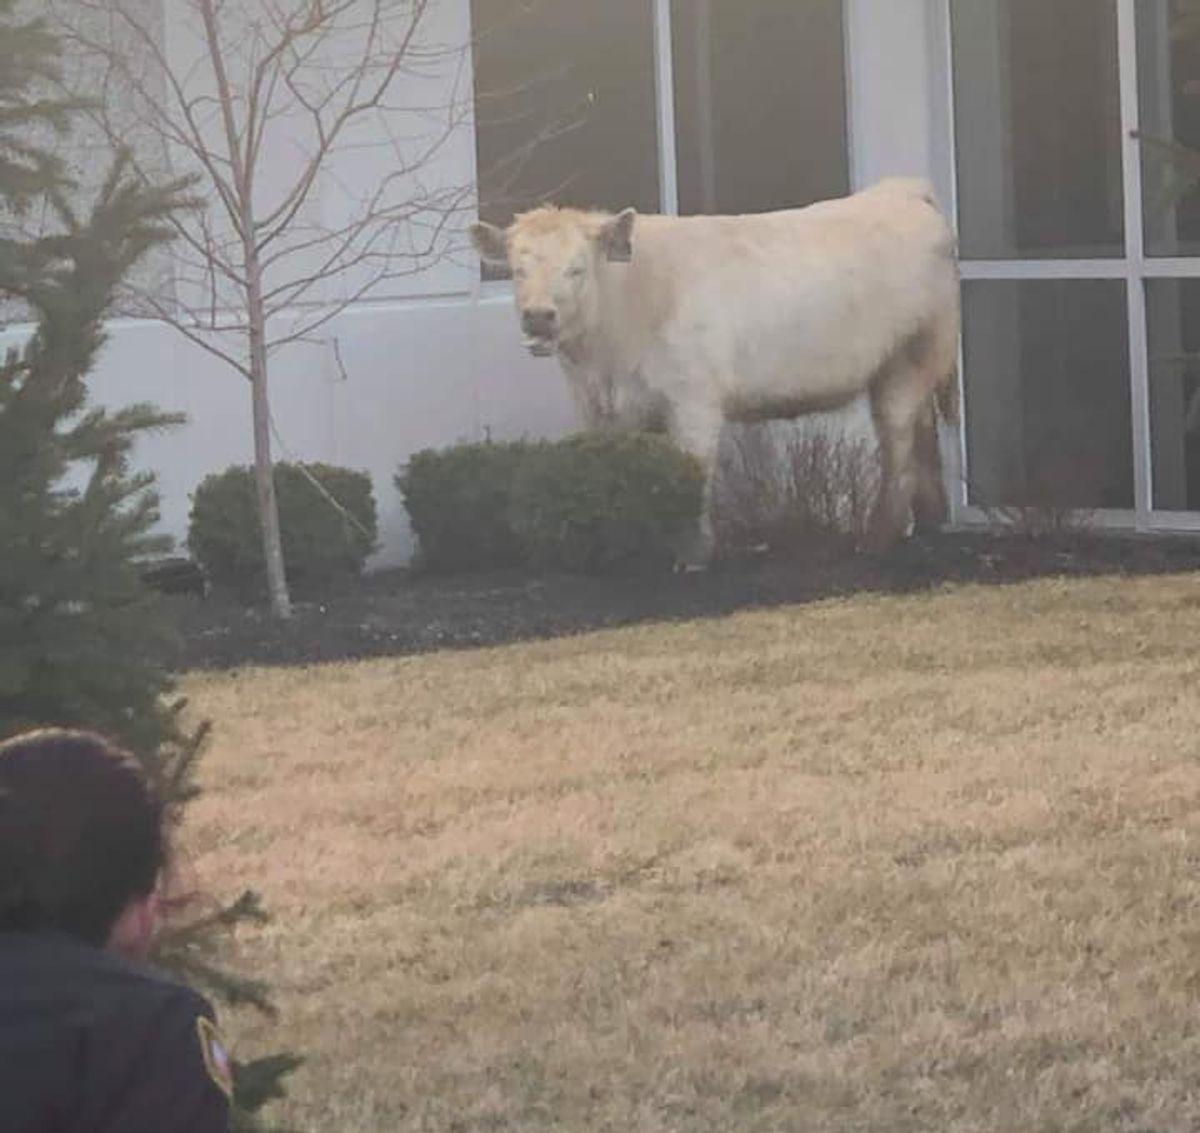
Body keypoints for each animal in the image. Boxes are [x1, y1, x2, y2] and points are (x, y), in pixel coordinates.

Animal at [470, 177, 961, 562]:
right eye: (516, 269)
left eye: (576, 269)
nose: (538, 317)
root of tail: (901, 190)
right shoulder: (598, 409)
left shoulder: (693, 402)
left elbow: (694, 472)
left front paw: (694, 555)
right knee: (922, 435)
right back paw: (930, 520)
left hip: (908, 359)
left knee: (897, 445)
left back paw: (876, 538)